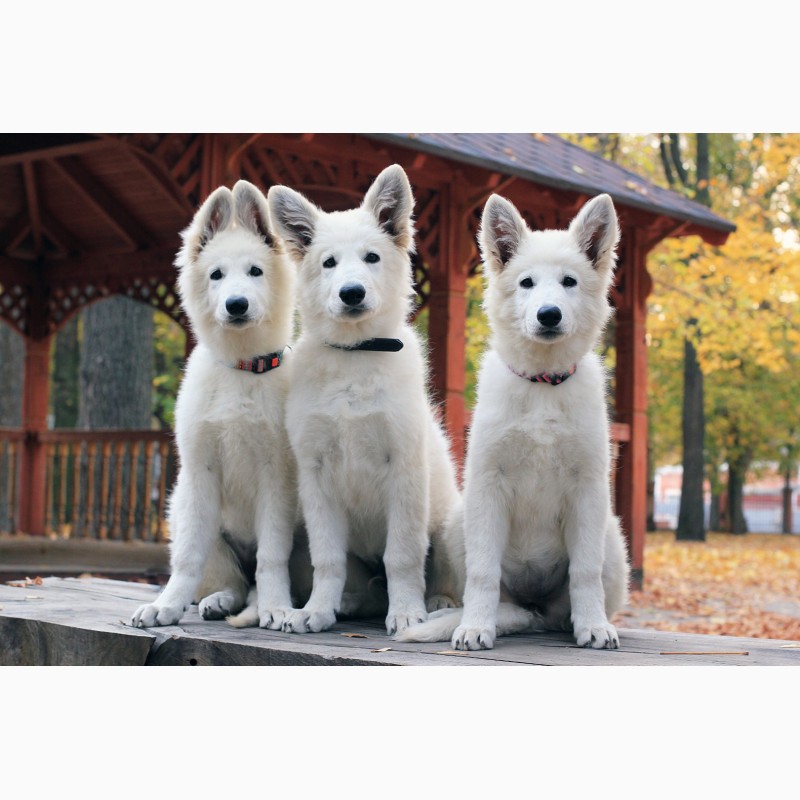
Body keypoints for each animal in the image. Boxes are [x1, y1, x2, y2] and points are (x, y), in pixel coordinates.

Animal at [268, 164, 460, 636]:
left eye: (372, 257)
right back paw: (348, 603)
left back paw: (438, 603)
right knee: (364, 587)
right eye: (329, 263)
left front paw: (407, 612)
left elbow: (402, 555)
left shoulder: (404, 467)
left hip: (448, 523)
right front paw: (317, 610)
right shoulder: (316, 476)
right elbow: (328, 559)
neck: (356, 356)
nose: (351, 293)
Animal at [396, 194, 628, 648]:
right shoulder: (489, 484)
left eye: (570, 282)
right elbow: (483, 574)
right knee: (494, 595)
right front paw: (474, 627)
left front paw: (593, 625)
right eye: (526, 283)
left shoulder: (588, 490)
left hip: (612, 536)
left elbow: (585, 571)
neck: (543, 386)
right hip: (460, 522)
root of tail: (534, 609)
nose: (549, 315)